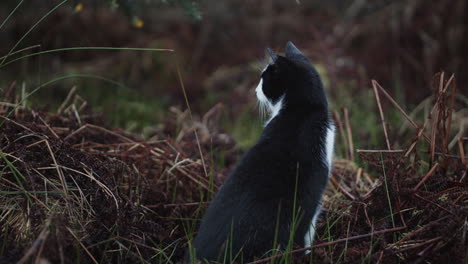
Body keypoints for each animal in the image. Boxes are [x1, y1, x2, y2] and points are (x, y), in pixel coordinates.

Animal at [185, 40, 334, 262]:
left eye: (263, 79)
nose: (254, 91)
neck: (302, 109)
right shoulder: (313, 195)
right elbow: (307, 232)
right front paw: (308, 254)